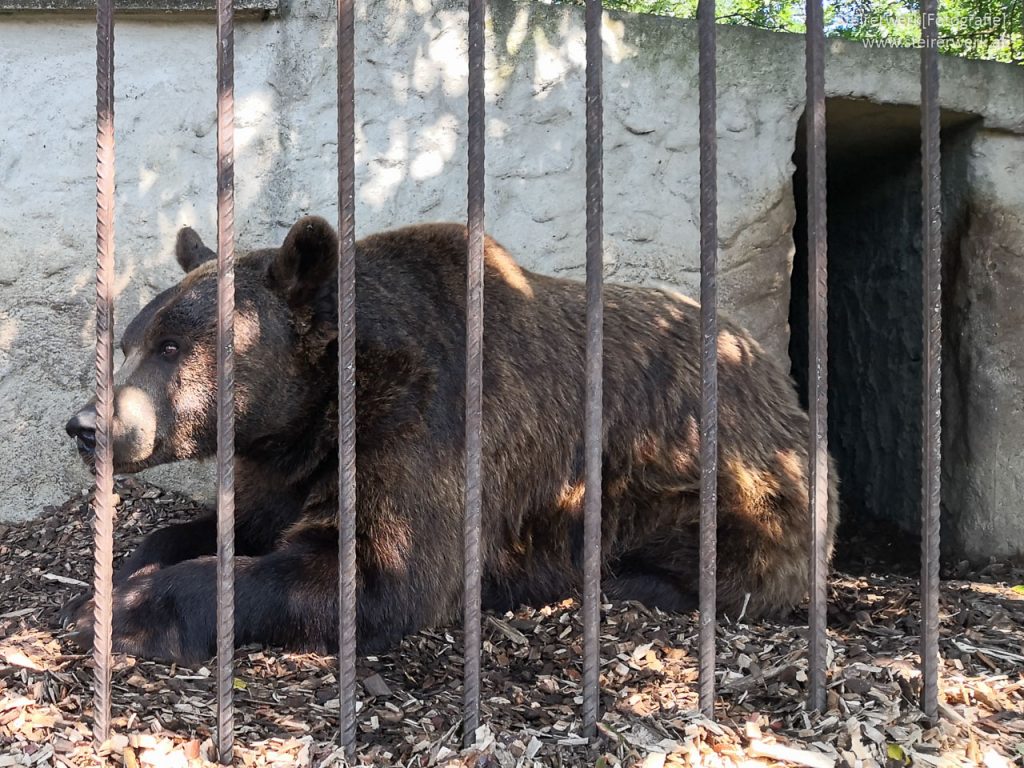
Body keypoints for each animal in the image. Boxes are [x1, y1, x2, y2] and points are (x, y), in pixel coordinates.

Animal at [59, 218, 835, 667]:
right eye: (131, 344)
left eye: (171, 346)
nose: (87, 426)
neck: (316, 413)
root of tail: (780, 379)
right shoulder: (284, 466)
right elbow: (227, 525)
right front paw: (110, 577)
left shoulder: (426, 428)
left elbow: (376, 572)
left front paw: (120, 613)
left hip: (728, 484)